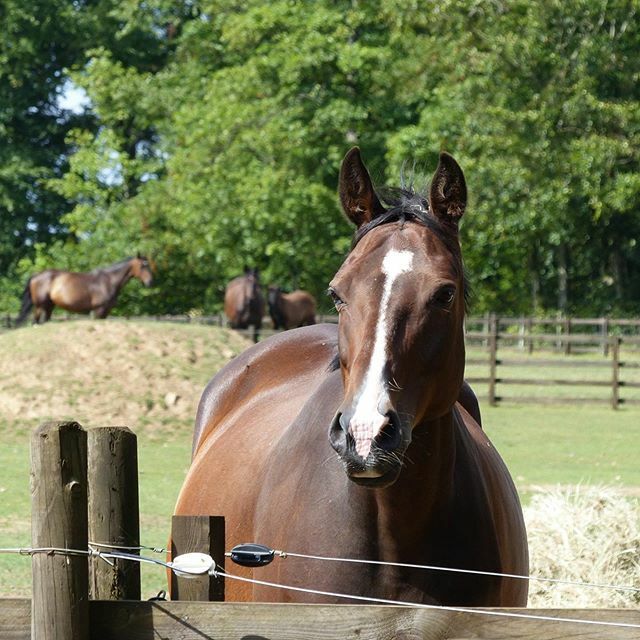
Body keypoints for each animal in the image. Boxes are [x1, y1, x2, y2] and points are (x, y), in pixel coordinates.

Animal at [16, 255, 153, 324]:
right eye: (142, 266)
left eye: (148, 265)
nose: (150, 282)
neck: (108, 281)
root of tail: (36, 275)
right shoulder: (98, 310)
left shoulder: (105, 312)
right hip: (39, 306)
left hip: (49, 306)